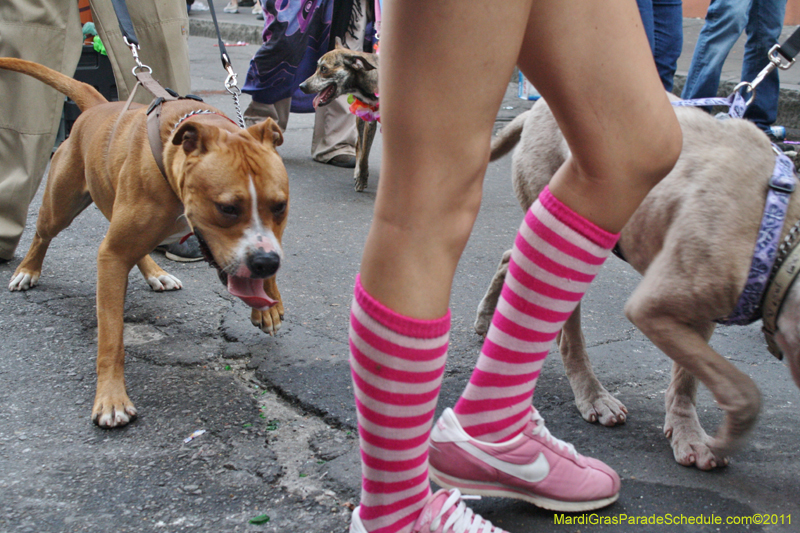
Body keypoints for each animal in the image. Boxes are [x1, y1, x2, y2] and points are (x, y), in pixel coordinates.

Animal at [1, 57, 290, 428]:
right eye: (226, 208)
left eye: (279, 206)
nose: (265, 263)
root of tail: (95, 107)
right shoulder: (111, 256)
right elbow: (111, 336)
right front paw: (111, 398)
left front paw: (268, 305)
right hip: (60, 206)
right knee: (42, 234)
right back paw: (27, 270)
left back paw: (157, 274)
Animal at [298, 37, 380, 192]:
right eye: (317, 67)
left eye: (324, 69)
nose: (301, 86)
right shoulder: (370, 120)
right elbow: (364, 154)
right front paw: (361, 178)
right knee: (359, 146)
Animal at [476, 95, 800, 470]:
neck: (779, 236)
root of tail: (536, 110)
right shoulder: (652, 308)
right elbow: (743, 390)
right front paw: (726, 437)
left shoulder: (700, 313)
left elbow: (687, 378)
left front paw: (688, 431)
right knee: (569, 336)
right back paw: (592, 395)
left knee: (510, 258)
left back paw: (486, 316)